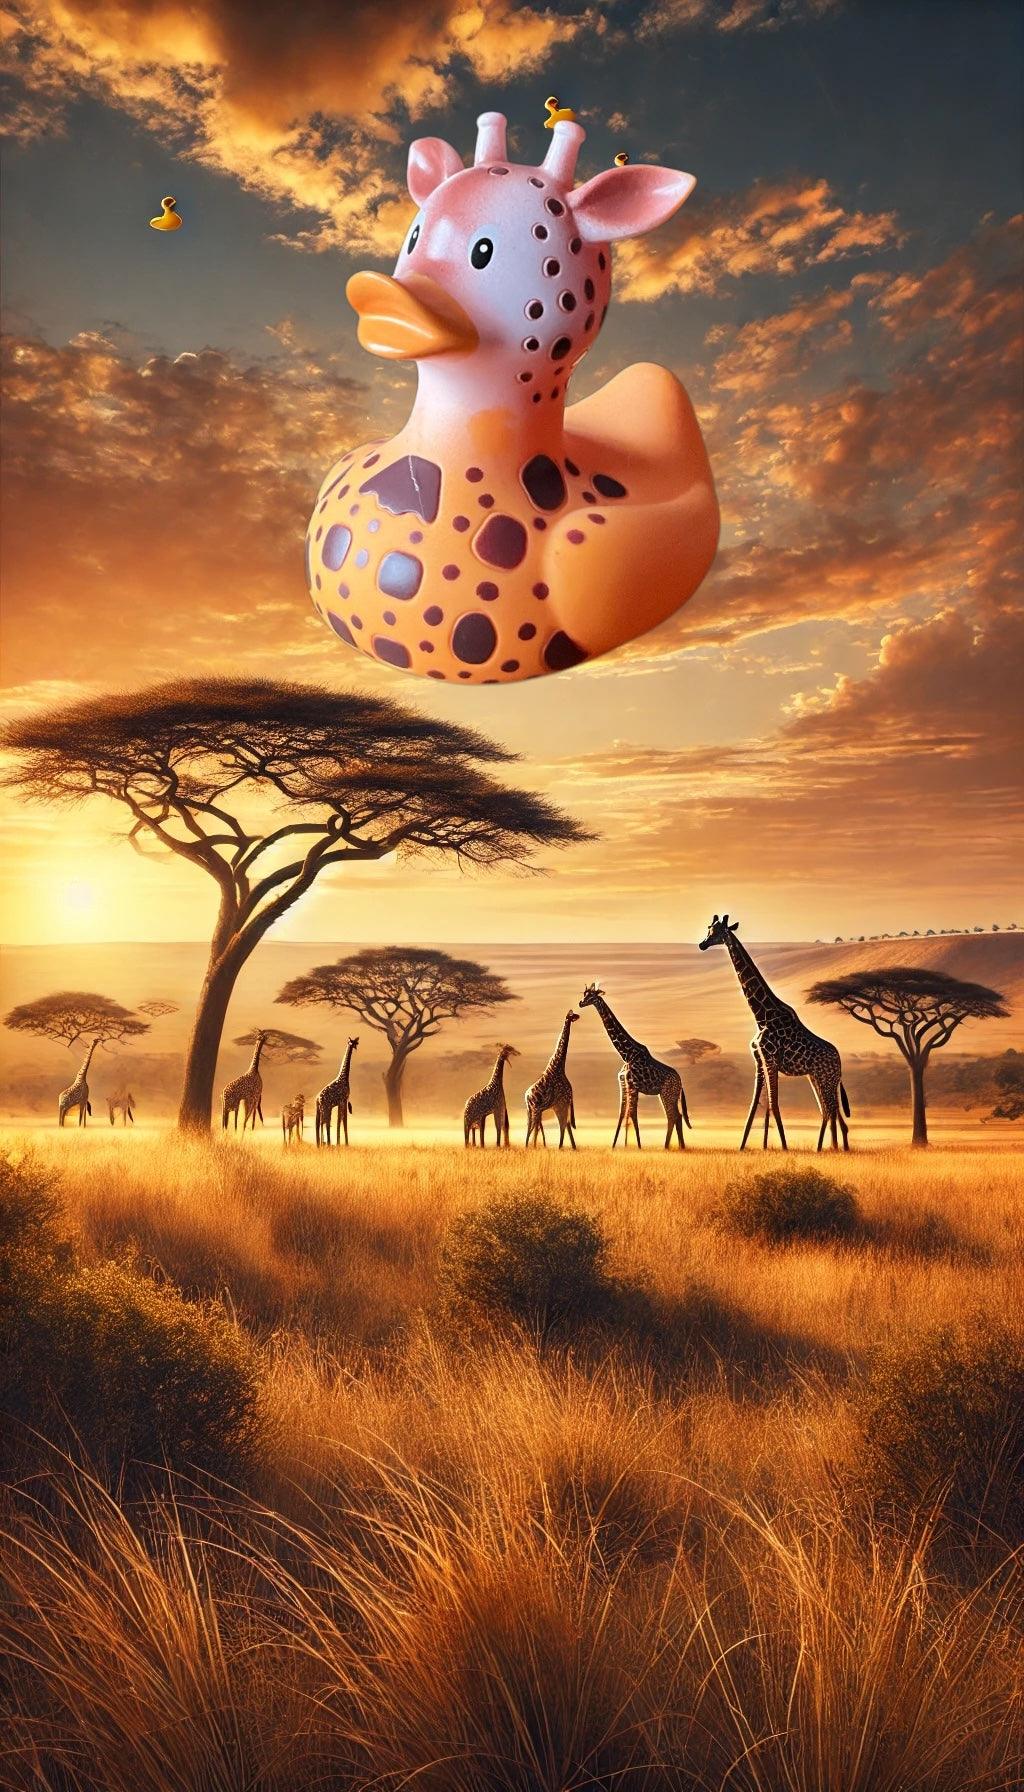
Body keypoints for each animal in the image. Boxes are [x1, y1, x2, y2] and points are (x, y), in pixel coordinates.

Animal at [525, 1010, 578, 1147]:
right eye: (572, 1015)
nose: (578, 1016)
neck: (559, 1066)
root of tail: (526, 1095)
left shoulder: (562, 1103)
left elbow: (566, 1126)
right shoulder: (562, 1102)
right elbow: (564, 1126)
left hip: (534, 1109)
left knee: (533, 1126)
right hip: (537, 1108)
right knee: (534, 1127)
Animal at [578, 985, 690, 1149]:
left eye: (591, 996)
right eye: (584, 994)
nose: (580, 1003)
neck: (627, 1054)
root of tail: (681, 1083)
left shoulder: (632, 1085)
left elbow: (632, 1115)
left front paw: (636, 1146)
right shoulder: (624, 1084)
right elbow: (622, 1114)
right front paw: (616, 1146)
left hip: (668, 1093)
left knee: (674, 1115)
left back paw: (670, 1146)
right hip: (665, 1094)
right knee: (675, 1116)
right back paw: (676, 1146)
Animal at [699, 915, 850, 1151]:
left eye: (716, 932)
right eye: (708, 928)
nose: (702, 944)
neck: (762, 1016)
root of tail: (839, 1061)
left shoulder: (770, 1059)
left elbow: (773, 1103)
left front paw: (784, 1147)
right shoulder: (759, 1060)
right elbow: (755, 1105)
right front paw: (746, 1146)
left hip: (826, 1078)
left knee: (830, 1109)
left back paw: (827, 1148)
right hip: (818, 1077)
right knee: (828, 1110)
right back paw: (833, 1147)